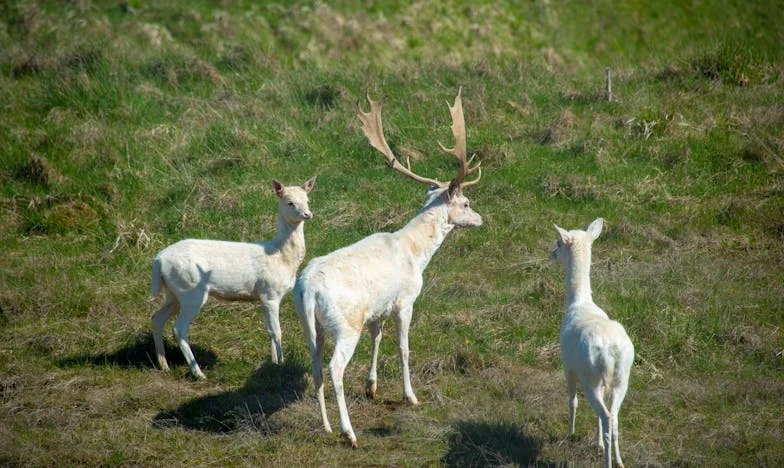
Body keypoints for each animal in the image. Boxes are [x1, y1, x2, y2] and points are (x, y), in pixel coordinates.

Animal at [150, 177, 316, 378]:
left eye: (307, 199)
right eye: (290, 202)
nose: (308, 214)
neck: (281, 257)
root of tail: (158, 260)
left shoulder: (263, 296)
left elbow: (269, 330)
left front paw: (274, 363)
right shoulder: (270, 293)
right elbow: (277, 332)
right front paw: (282, 365)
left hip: (173, 292)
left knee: (157, 317)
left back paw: (163, 364)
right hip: (191, 291)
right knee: (179, 328)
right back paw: (198, 373)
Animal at [292, 89, 480, 448]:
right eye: (465, 203)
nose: (480, 218)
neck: (416, 253)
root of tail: (306, 289)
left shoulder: (377, 308)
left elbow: (377, 337)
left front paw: (372, 387)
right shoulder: (405, 300)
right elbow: (404, 348)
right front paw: (411, 396)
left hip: (312, 326)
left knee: (315, 365)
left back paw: (326, 426)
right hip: (345, 324)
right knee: (335, 369)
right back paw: (349, 433)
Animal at [552, 219, 636, 468]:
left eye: (558, 242)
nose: (552, 253)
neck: (579, 302)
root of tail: (610, 353)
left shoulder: (567, 366)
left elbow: (572, 401)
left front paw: (570, 433)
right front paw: (596, 443)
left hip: (589, 377)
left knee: (606, 416)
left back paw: (608, 462)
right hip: (621, 378)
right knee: (613, 417)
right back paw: (620, 461)